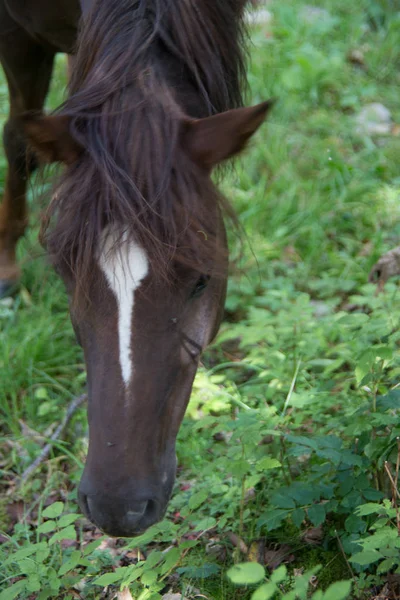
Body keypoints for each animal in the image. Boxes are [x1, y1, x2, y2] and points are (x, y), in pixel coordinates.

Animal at [0, 0, 272, 536]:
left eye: (201, 281)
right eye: (64, 274)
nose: (118, 506)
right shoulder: (17, 33)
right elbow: (18, 140)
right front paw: (6, 268)